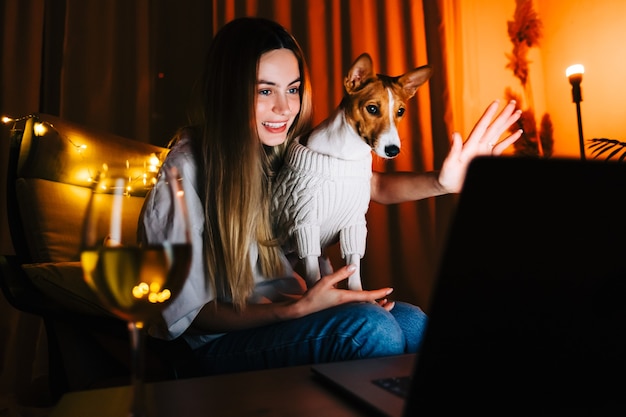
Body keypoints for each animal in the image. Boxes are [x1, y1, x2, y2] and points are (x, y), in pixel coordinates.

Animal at [272, 52, 428, 290]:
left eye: (401, 111)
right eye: (372, 108)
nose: (393, 150)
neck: (347, 154)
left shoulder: (353, 226)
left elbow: (353, 271)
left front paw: (357, 294)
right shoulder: (305, 227)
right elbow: (314, 277)